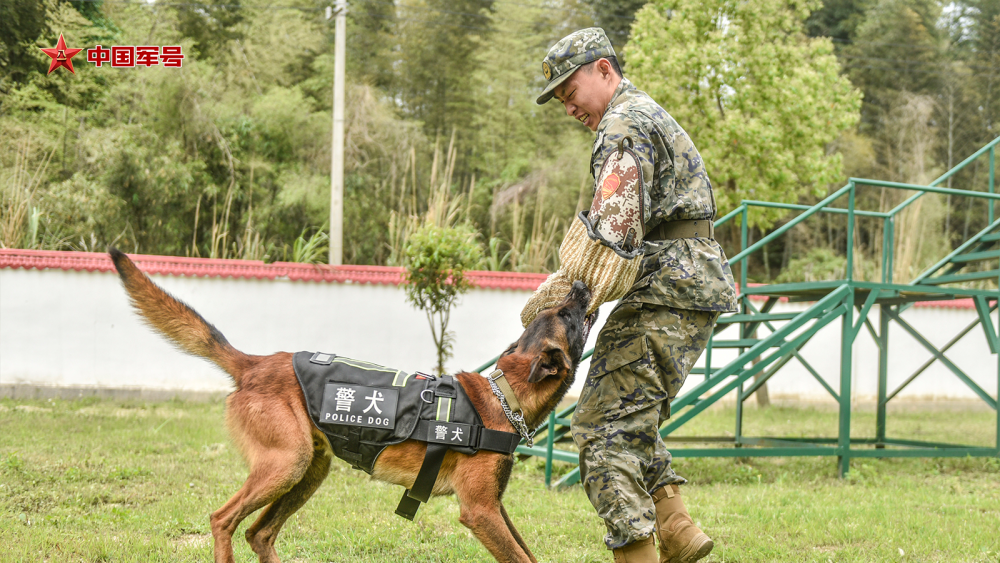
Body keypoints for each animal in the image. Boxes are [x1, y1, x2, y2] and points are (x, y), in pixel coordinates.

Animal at [110, 250, 592, 563]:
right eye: (568, 315)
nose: (582, 285)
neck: (504, 395)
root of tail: (255, 363)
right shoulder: (480, 511)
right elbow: (522, 558)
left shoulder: (496, 507)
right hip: (287, 464)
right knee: (223, 520)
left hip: (308, 472)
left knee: (259, 532)